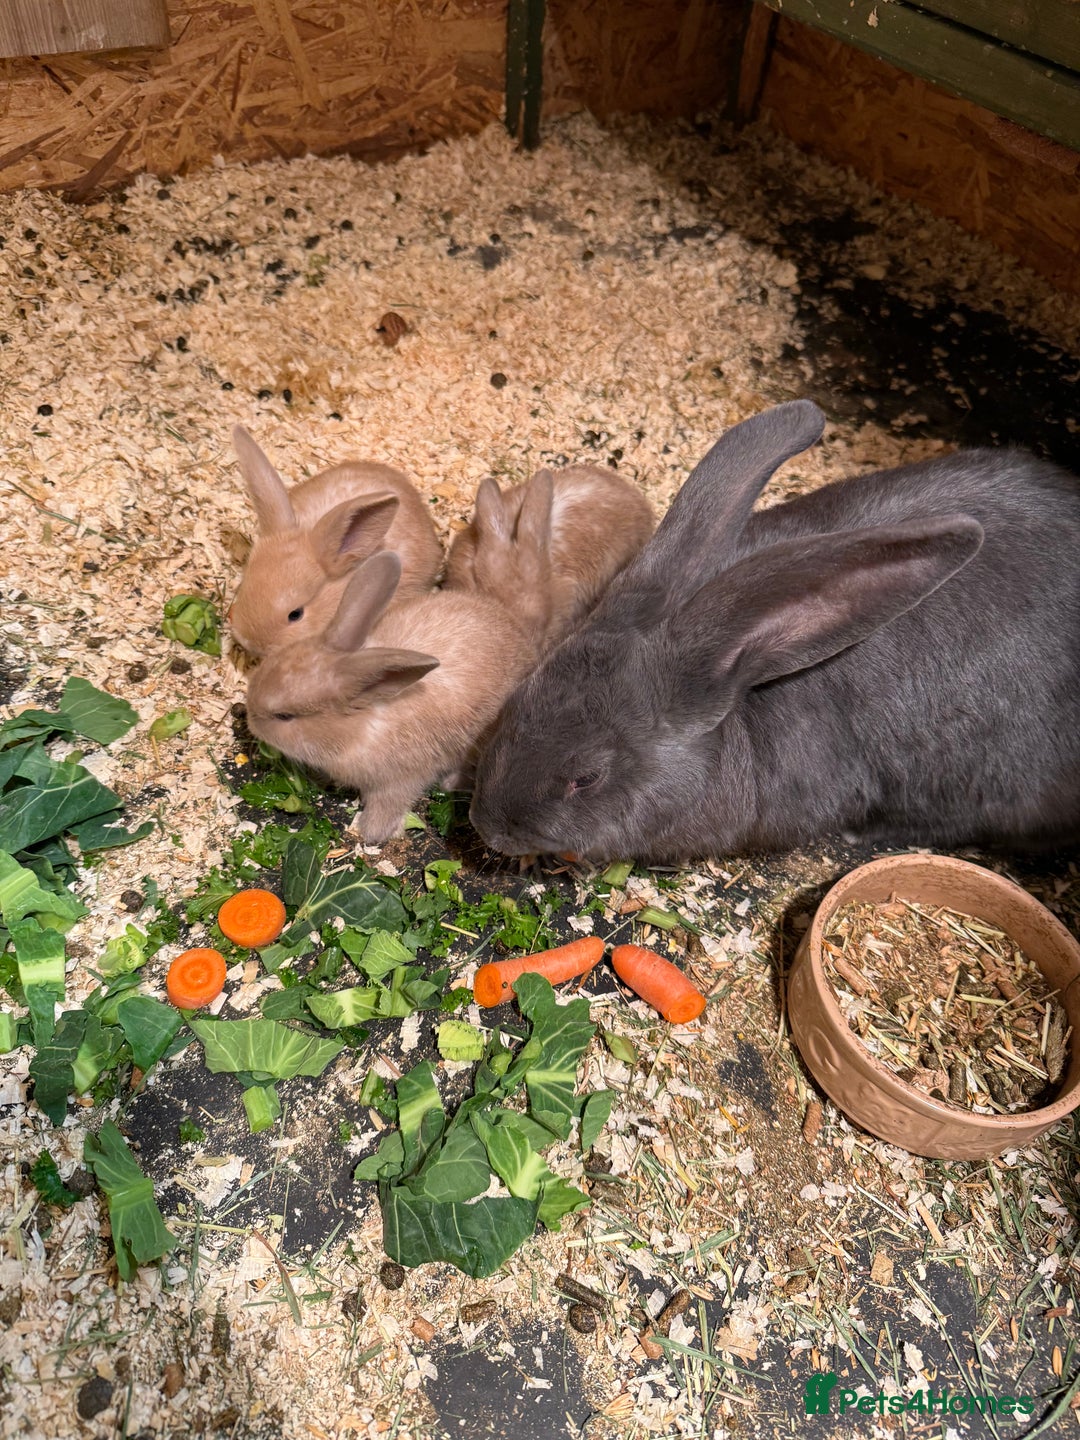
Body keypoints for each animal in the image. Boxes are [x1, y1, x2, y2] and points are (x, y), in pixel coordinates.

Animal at [244, 549, 537, 844]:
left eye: (284, 716)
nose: (248, 720)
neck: (361, 729)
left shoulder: (401, 779)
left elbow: (389, 804)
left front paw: (372, 832)